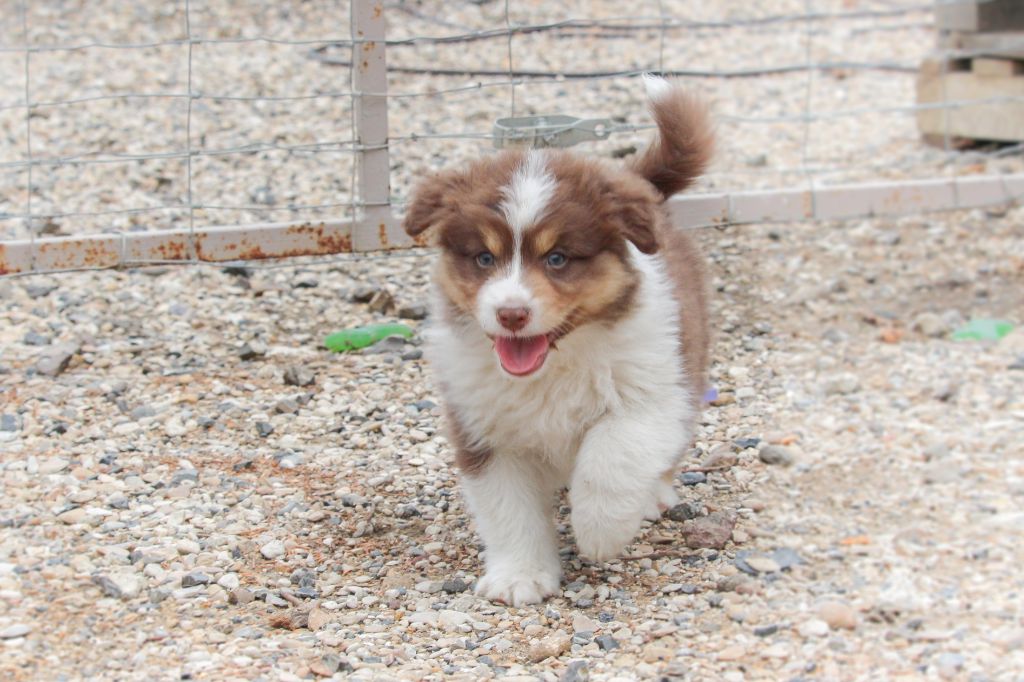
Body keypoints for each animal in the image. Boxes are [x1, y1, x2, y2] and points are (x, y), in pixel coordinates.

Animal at [402, 76, 713, 606]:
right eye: (484, 258)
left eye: (558, 259)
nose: (511, 313)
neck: (554, 367)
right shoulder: (482, 428)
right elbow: (508, 508)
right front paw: (519, 577)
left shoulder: (652, 394)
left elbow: (612, 458)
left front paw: (600, 532)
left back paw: (652, 496)